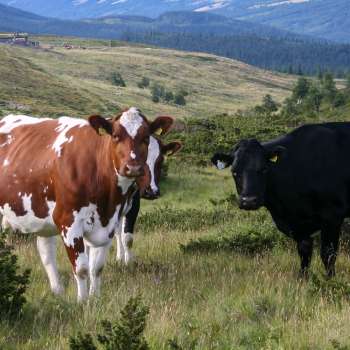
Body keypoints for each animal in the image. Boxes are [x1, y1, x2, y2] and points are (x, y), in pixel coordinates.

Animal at [0, 108, 174, 302]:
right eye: (115, 135)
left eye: (145, 137)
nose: (134, 168)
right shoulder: (68, 222)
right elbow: (82, 268)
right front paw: (82, 302)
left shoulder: (109, 223)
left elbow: (97, 267)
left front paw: (95, 299)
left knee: (46, 252)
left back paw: (57, 291)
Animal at [212, 124, 350, 278]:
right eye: (234, 172)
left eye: (264, 169)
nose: (248, 201)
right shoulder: (296, 225)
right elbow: (304, 251)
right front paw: (303, 278)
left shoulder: (332, 215)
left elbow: (328, 254)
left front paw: (330, 279)